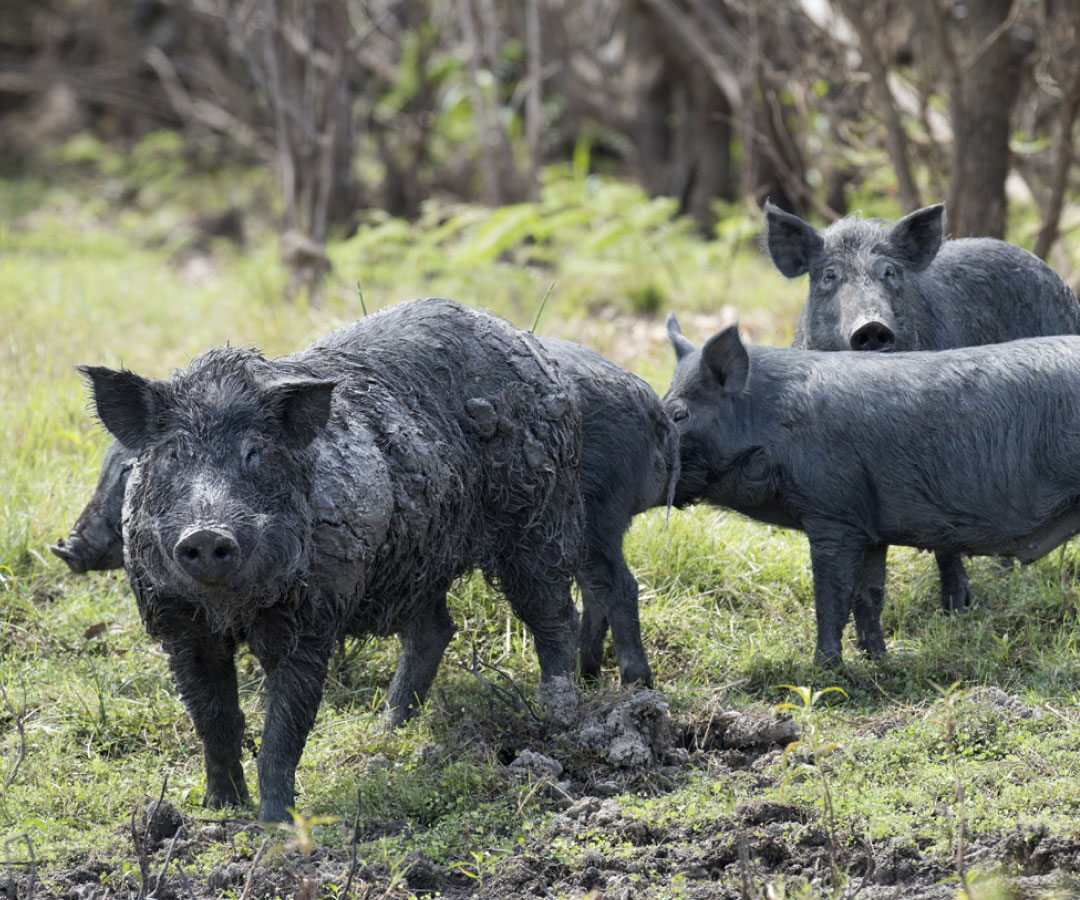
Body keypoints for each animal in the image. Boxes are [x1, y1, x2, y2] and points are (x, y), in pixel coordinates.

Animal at [55, 337, 679, 691]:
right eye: (151, 464)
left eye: (126, 472)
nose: (66, 547)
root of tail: (652, 405)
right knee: (441, 627)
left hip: (572, 521)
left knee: (607, 588)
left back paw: (622, 689)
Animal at [75, 298, 584, 822]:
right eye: (173, 454)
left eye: (255, 453)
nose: (207, 532)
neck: (231, 609)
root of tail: (527, 343)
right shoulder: (178, 626)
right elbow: (214, 721)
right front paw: (219, 809)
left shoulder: (311, 619)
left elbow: (284, 730)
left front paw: (275, 824)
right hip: (420, 558)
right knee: (436, 629)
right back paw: (390, 731)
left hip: (537, 517)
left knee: (555, 614)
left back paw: (559, 717)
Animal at [664, 314, 1080, 662]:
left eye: (679, 415)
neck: (771, 425)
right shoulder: (871, 528)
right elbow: (869, 595)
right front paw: (877, 660)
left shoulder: (833, 515)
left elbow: (830, 596)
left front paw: (825, 669)